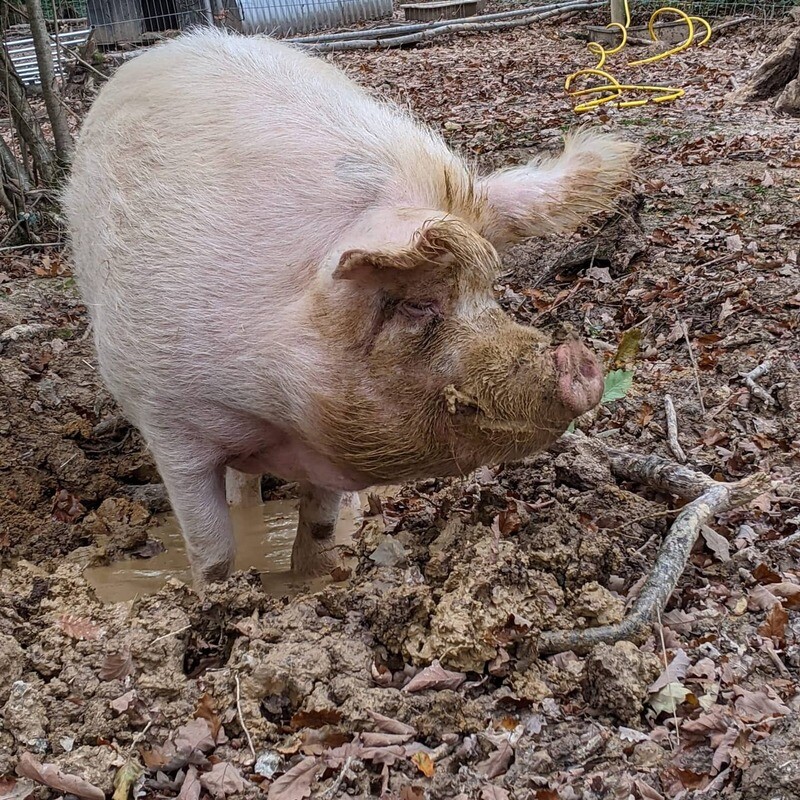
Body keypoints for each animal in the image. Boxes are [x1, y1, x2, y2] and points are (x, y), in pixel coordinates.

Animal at [62, 29, 636, 588]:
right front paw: (216, 595)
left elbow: (317, 527)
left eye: (490, 289)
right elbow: (211, 549)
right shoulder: (165, 417)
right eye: (419, 303)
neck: (269, 396)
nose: (578, 360)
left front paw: (314, 581)